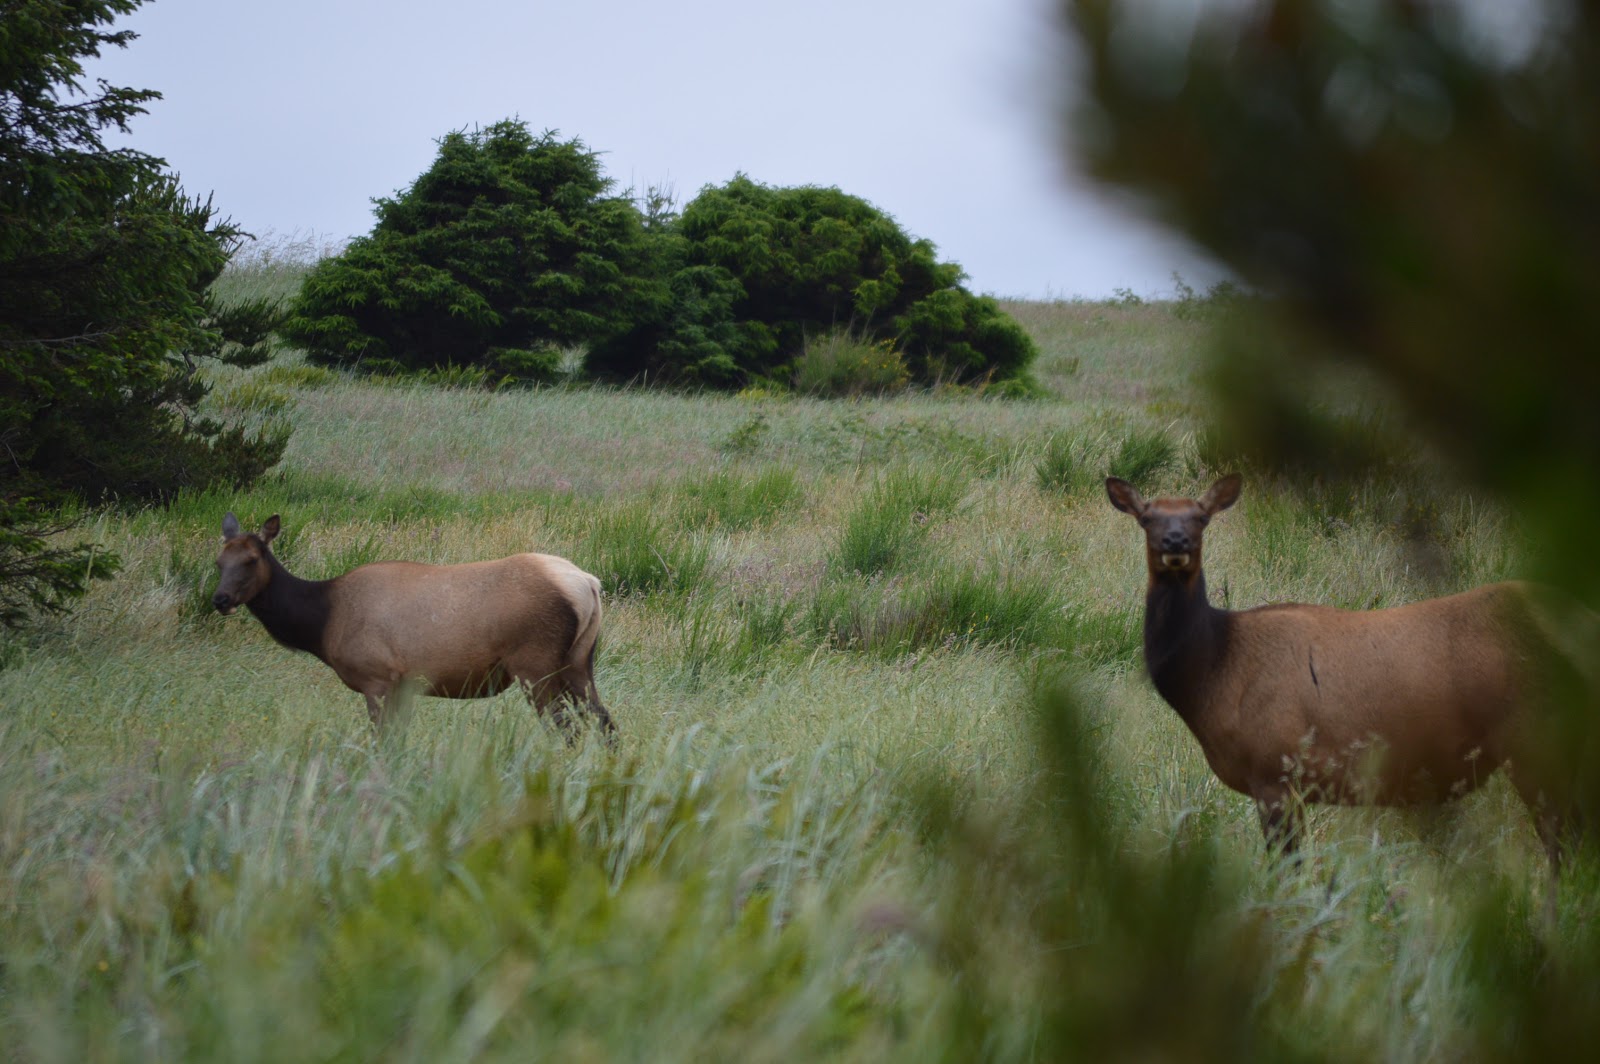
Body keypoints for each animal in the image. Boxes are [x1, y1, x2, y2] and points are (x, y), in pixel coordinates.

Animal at [212, 513, 613, 738]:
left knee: (567, 730)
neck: (322, 623)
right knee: (605, 723)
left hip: (535, 663)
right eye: (218, 561)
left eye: (251, 560)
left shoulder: (377, 677)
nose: (220, 599)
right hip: (579, 662)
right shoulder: (403, 686)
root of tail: (589, 583)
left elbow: (381, 743)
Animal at [1106, 473, 1587, 870]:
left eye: (1201, 518)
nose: (1175, 542)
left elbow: (1287, 872)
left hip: (1536, 738)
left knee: (1565, 845)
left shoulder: (1276, 769)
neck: (1215, 673)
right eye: (1146, 517)